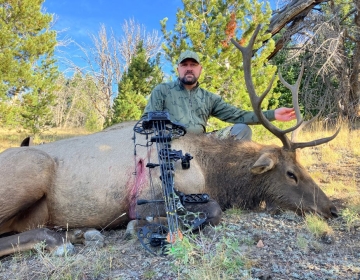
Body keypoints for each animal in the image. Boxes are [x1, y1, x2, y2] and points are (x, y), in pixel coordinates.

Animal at [0, 25, 338, 258]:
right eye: (291, 174)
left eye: (304, 168)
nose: (332, 209)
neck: (216, 173)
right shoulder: (149, 195)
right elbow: (213, 211)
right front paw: (140, 226)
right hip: (30, 172)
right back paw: (62, 239)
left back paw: (78, 233)